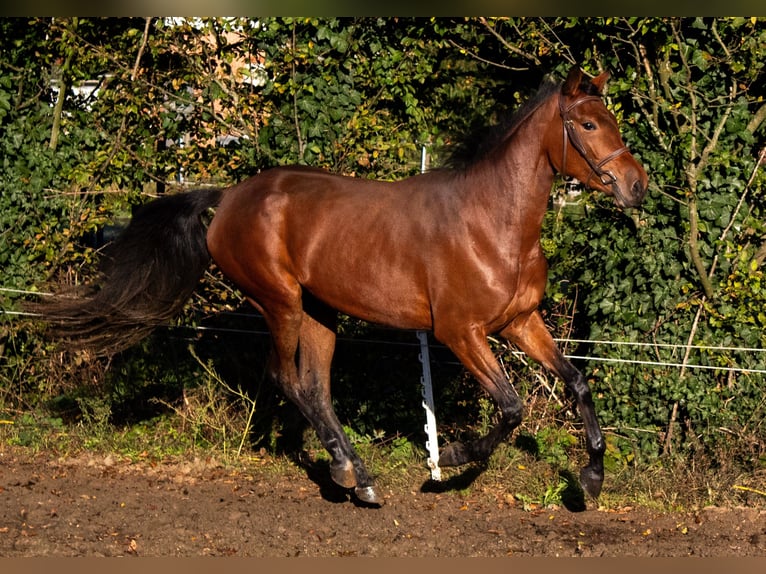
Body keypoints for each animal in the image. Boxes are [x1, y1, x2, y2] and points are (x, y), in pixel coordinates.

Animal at [34, 66, 648, 508]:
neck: (493, 223)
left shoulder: (520, 322)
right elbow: (511, 407)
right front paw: (448, 457)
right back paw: (353, 474)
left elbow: (577, 383)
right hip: (279, 302)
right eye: (588, 125)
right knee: (288, 379)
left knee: (315, 387)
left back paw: (354, 473)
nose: (637, 186)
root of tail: (228, 199)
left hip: (319, 312)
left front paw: (590, 479)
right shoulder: (459, 332)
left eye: (610, 119)